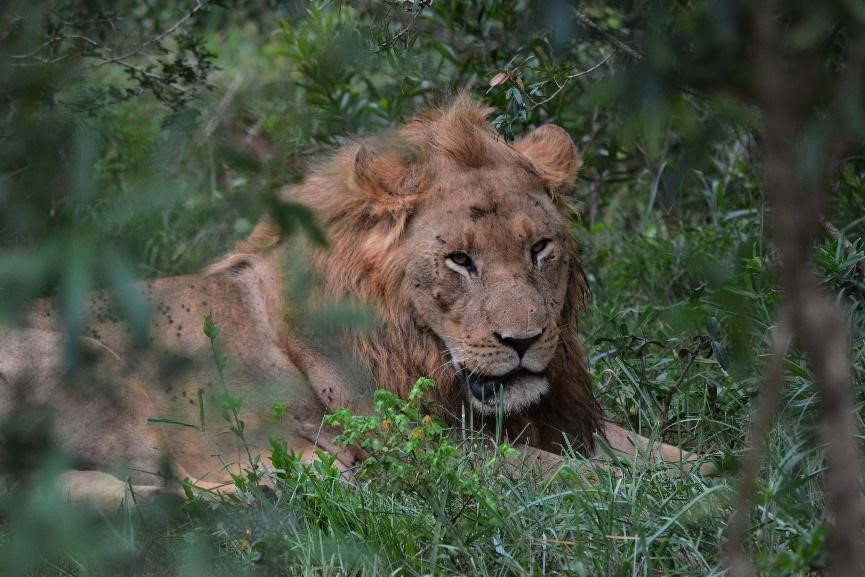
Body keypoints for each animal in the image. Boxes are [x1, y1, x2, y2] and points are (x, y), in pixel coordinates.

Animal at [0, 94, 708, 504]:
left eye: (539, 248)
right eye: (460, 259)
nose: (524, 342)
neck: (418, 343)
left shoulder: (559, 420)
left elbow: (662, 452)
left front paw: (717, 473)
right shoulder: (426, 446)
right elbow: (572, 475)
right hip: (88, 363)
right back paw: (288, 479)